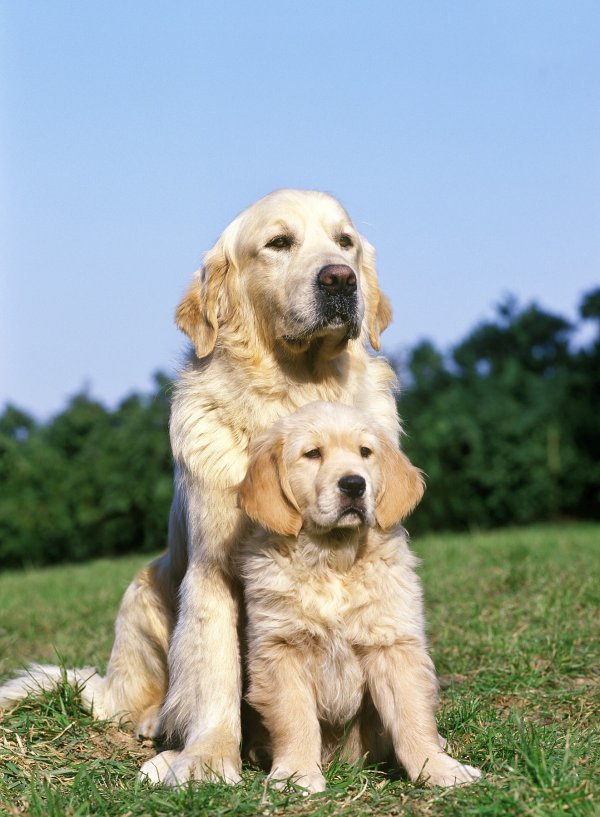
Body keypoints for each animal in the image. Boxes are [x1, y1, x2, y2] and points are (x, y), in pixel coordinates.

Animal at [1, 190, 404, 784]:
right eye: (279, 242)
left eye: (345, 242)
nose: (340, 279)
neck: (294, 391)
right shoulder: (213, 571)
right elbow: (215, 673)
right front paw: (209, 758)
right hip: (142, 591)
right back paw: (156, 721)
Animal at [237, 402, 480, 792]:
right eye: (313, 453)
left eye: (365, 452)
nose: (353, 484)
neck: (335, 559)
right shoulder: (280, 649)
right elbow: (295, 719)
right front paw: (296, 775)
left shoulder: (393, 644)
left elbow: (412, 716)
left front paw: (439, 769)